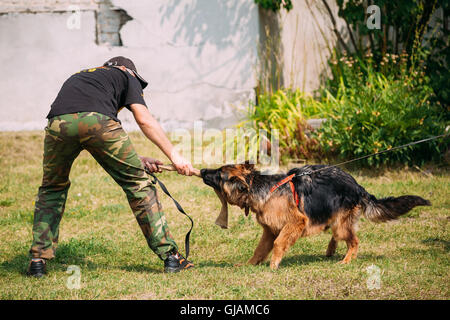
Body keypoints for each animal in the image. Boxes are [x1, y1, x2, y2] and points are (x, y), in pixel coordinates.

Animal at [201, 164, 432, 268]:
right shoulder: (269, 230)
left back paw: (346, 259)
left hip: (341, 223)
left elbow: (278, 244)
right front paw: (250, 265)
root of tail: (358, 186)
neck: (260, 188)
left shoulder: (295, 222)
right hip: (336, 219)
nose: (202, 170)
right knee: (340, 236)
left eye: (219, 174)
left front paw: (273, 266)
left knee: (354, 240)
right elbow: (260, 249)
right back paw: (331, 250)